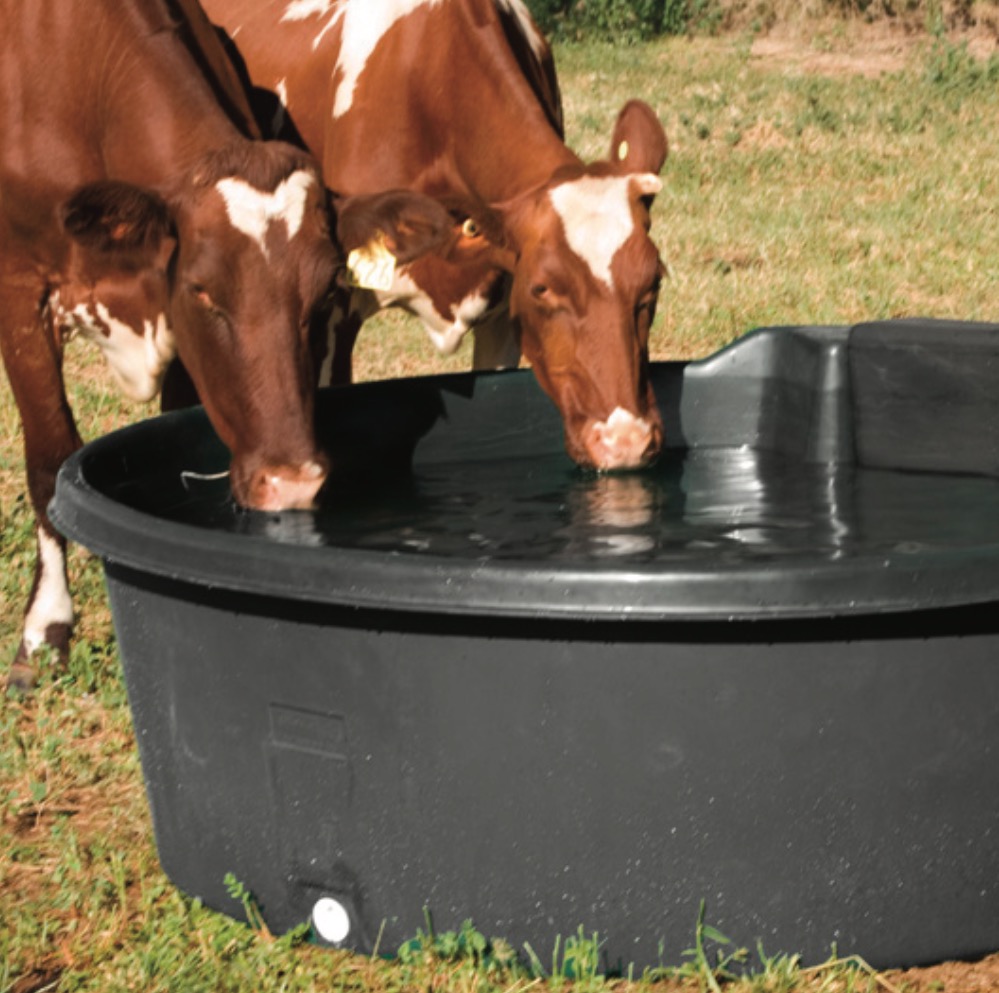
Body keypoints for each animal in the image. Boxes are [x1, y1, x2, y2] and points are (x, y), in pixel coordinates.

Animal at [0, 0, 454, 690]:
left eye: (326, 292)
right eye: (203, 291)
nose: (292, 484)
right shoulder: (19, 289)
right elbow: (48, 458)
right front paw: (45, 629)